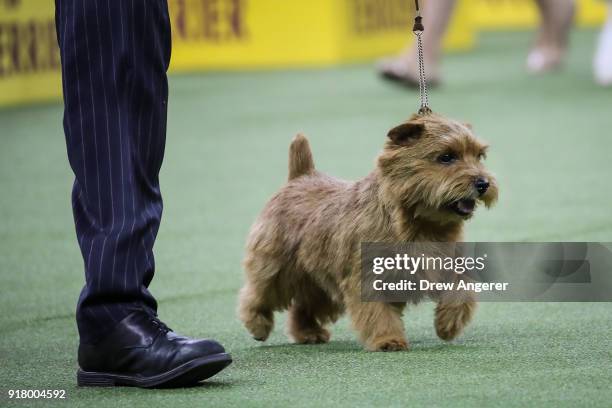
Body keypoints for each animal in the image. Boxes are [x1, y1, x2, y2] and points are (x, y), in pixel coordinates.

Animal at [238, 112, 498, 350]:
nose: (483, 183)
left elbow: (461, 289)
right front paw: (388, 340)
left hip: (320, 281)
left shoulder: (444, 263)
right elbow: (377, 313)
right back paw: (258, 326)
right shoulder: (368, 276)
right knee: (257, 293)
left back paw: (308, 333)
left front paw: (448, 324)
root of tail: (301, 176)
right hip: (278, 267)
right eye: (446, 157)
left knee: (303, 306)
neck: (421, 222)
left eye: (479, 156)